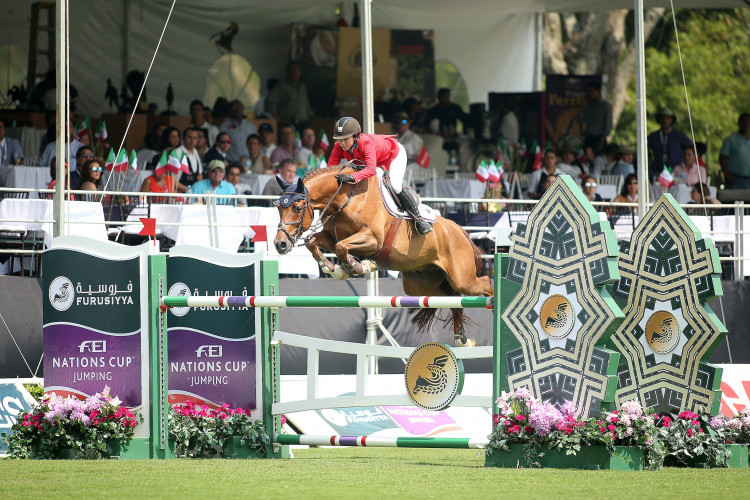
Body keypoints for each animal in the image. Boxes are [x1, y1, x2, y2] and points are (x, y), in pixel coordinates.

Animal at [274, 166, 496, 346]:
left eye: (297, 208)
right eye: (278, 208)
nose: (280, 244)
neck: (346, 198)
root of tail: (460, 231)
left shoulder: (373, 239)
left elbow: (341, 247)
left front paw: (361, 266)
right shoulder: (329, 236)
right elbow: (315, 243)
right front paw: (336, 270)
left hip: (462, 278)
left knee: (484, 282)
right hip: (421, 285)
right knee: (453, 298)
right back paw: (462, 339)